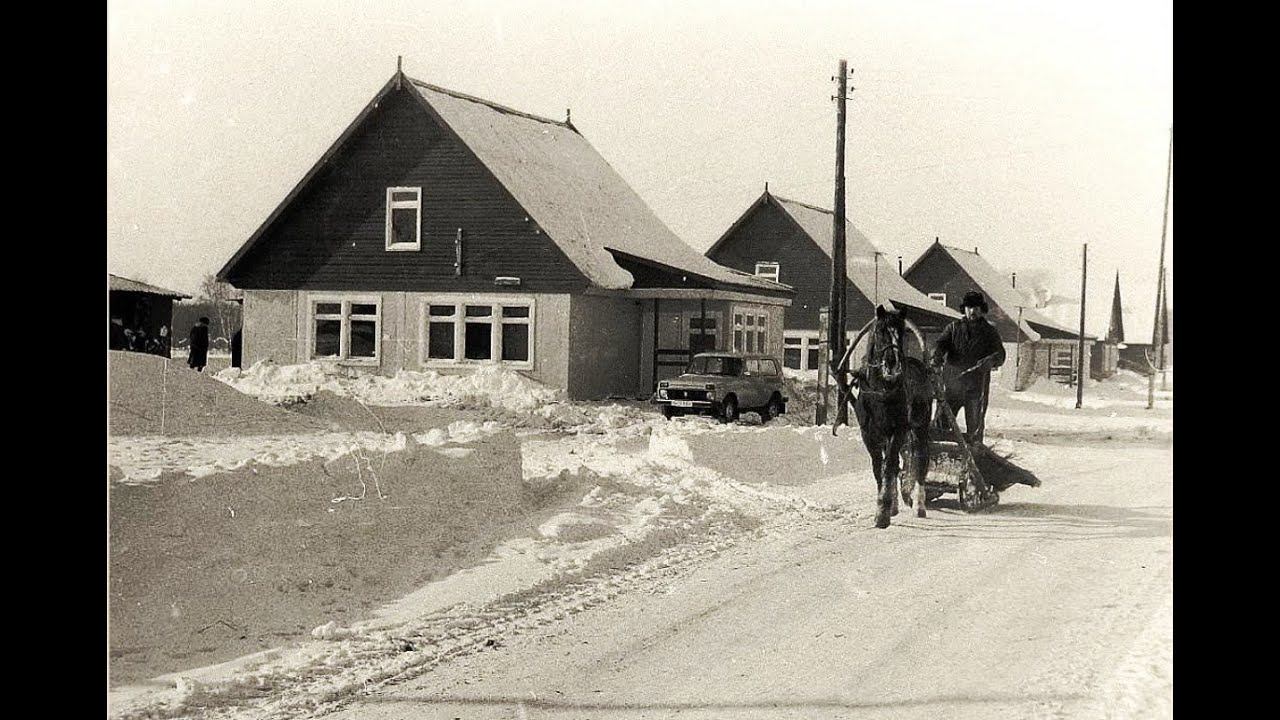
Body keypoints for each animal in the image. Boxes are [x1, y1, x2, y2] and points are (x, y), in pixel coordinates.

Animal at [839, 302, 931, 527]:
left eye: (901, 331)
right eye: (881, 331)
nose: (891, 362)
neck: (882, 389)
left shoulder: (897, 430)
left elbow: (888, 467)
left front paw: (883, 511)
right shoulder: (869, 433)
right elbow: (879, 468)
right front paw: (886, 508)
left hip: (920, 427)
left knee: (920, 460)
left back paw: (919, 506)